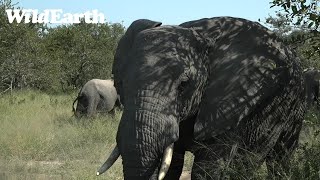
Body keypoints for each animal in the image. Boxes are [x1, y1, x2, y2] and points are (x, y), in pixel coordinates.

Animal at [96, 16, 306, 179]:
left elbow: (208, 168)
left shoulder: (232, 101)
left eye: (183, 85)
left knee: (270, 159)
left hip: (292, 106)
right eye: (121, 83)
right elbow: (172, 165)